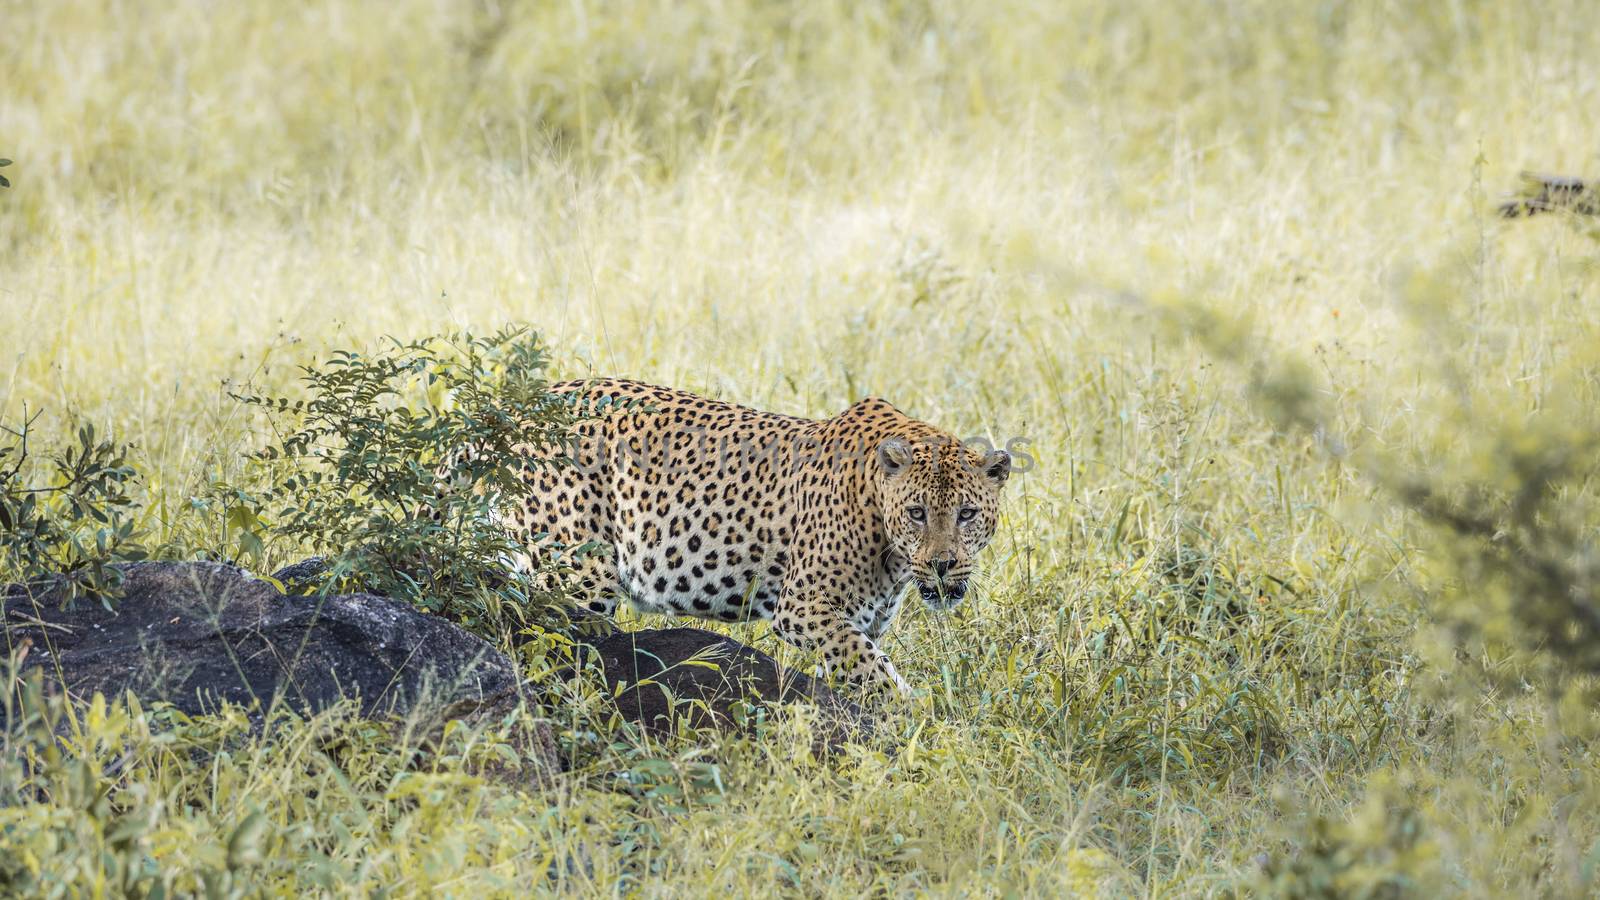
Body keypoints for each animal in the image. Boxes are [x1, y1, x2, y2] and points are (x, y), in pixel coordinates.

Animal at [473, 374, 1004, 688]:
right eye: (917, 513)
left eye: (967, 514)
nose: (942, 565)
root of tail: (515, 407)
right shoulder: (804, 607)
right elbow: (873, 669)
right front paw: (914, 720)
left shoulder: (862, 621)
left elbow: (860, 665)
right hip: (576, 573)